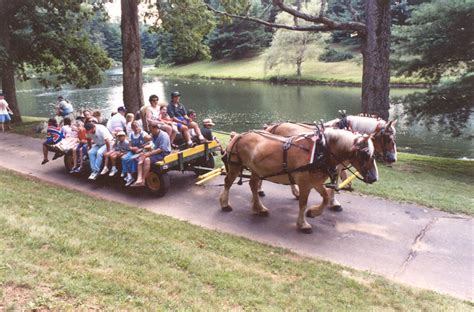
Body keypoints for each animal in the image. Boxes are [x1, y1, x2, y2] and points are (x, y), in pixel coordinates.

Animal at [218, 128, 378, 233]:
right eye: (365, 154)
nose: (374, 178)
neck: (320, 151)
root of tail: (238, 136)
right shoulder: (304, 183)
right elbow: (303, 203)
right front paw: (303, 224)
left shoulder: (315, 182)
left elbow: (326, 197)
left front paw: (312, 213)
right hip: (235, 166)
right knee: (228, 183)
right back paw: (225, 204)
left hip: (256, 170)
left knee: (252, 185)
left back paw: (259, 208)